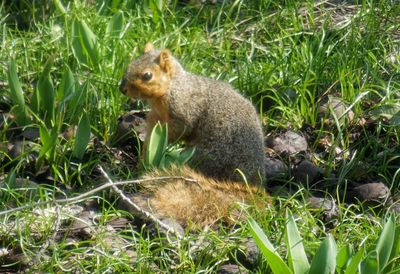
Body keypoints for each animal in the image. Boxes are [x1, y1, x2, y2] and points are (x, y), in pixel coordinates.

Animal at [119, 42, 268, 227]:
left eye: (147, 75)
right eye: (129, 65)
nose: (122, 89)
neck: (173, 87)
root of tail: (252, 181)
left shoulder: (185, 110)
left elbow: (181, 130)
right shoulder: (155, 118)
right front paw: (143, 155)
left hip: (207, 156)